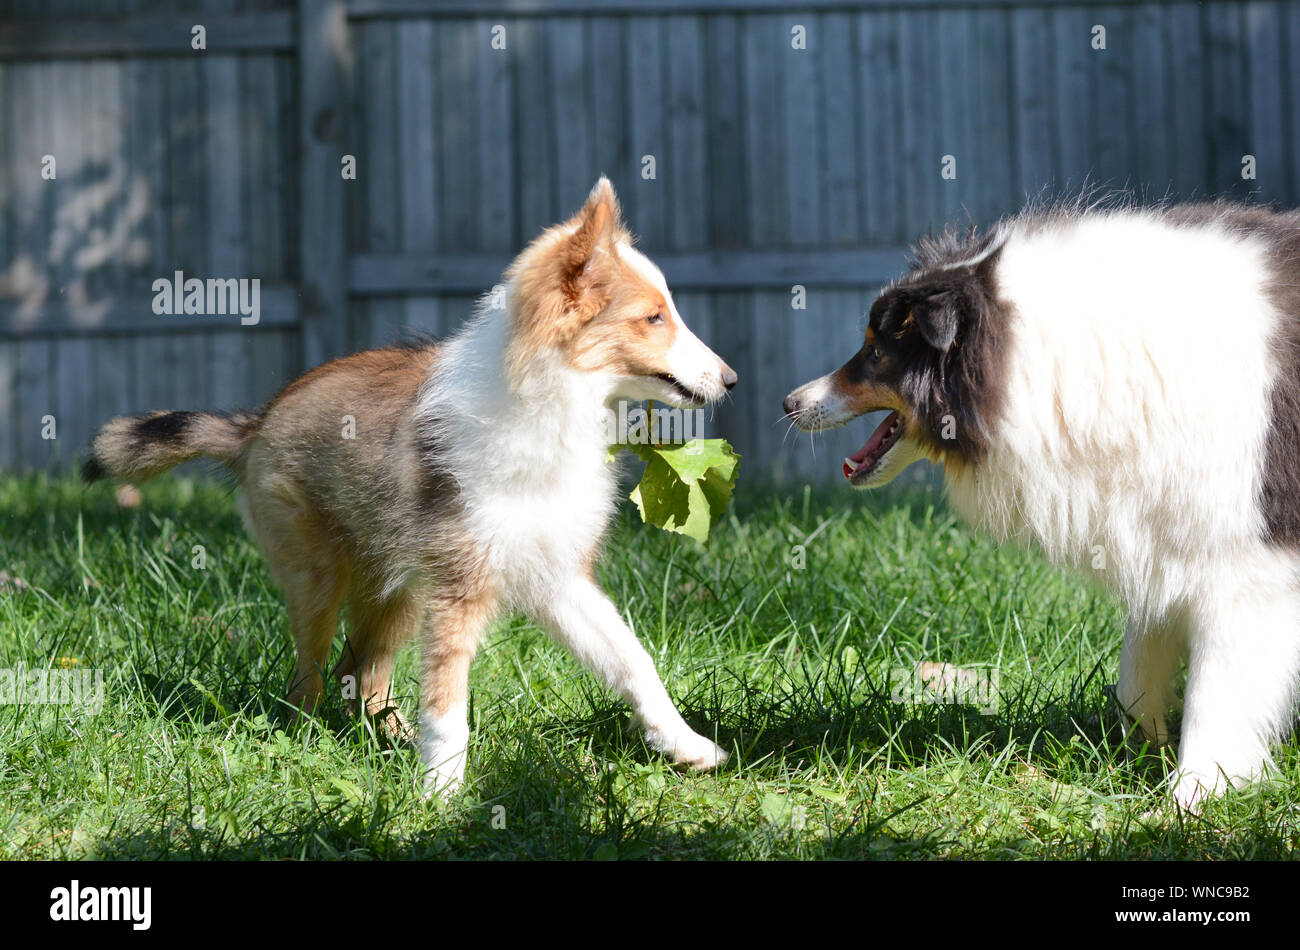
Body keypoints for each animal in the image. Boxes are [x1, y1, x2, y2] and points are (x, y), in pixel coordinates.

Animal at [86, 178, 738, 795]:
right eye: (653, 318)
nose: (731, 380)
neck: (550, 406)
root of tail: (255, 423)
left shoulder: (556, 577)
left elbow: (632, 659)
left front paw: (685, 744)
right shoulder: (460, 591)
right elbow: (448, 705)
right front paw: (441, 796)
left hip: (396, 585)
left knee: (362, 672)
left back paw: (390, 738)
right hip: (319, 575)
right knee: (310, 674)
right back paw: (303, 744)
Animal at [780, 200, 1300, 810]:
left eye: (877, 352)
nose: (789, 402)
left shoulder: (1247, 565)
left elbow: (1217, 694)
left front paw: (1191, 797)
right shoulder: (1166, 527)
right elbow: (1138, 664)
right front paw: (1135, 751)